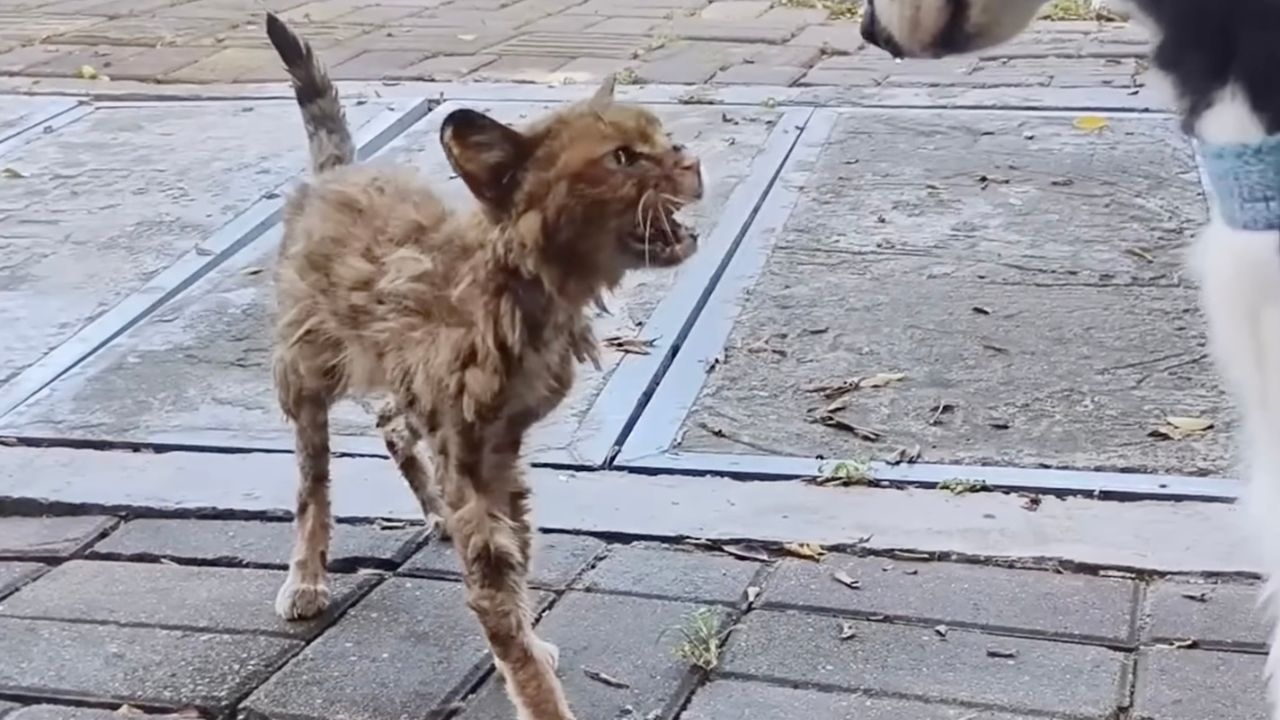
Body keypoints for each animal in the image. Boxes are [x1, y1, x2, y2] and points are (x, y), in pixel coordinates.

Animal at [261, 12, 701, 717]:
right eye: (623, 159)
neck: (522, 287)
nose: (691, 159)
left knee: (391, 423)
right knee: (312, 484)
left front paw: (527, 640)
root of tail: (337, 173)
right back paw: (306, 576)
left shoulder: (501, 447)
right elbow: (497, 586)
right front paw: (537, 691)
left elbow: (516, 554)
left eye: (664, 137)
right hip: (305, 368)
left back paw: (433, 512)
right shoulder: (472, 453)